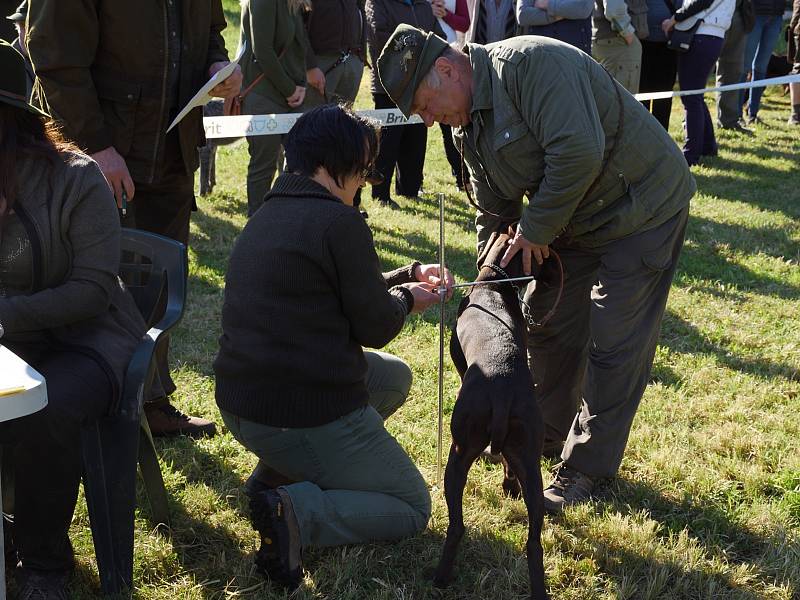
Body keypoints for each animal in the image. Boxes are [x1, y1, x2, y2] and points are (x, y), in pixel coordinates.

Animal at [432, 230, 552, 600]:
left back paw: (439, 576)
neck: (493, 282)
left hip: (459, 452)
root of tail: (501, 389)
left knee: (457, 526)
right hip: (530, 461)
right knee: (533, 543)